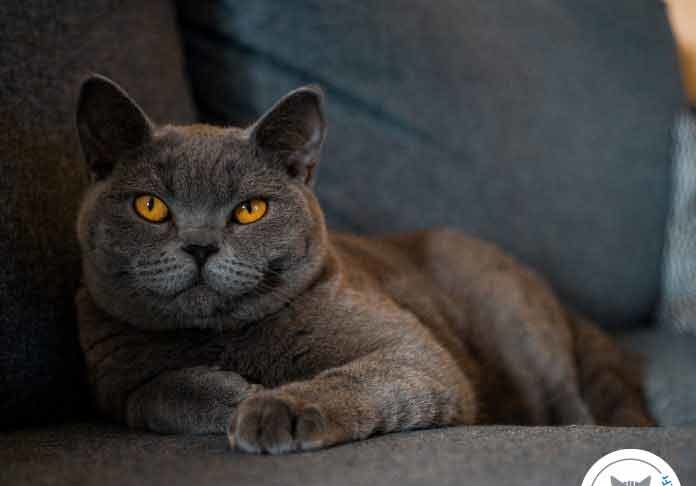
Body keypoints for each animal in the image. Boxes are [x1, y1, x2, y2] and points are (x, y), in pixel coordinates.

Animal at [73, 74, 656, 454]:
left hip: (513, 320)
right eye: (150, 206)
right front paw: (238, 394)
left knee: (571, 406)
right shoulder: (110, 379)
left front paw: (273, 406)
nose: (199, 245)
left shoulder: (412, 350)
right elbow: (158, 392)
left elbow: (353, 378)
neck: (222, 337)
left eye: (250, 209)